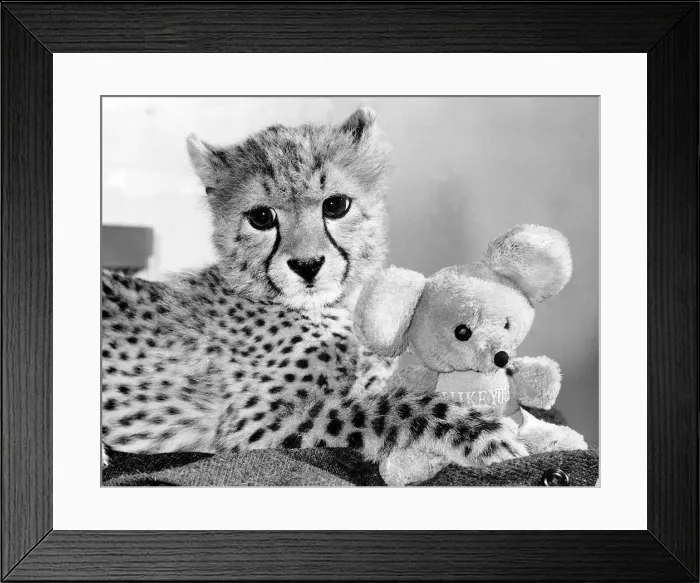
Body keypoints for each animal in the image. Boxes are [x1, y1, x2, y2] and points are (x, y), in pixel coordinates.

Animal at [101, 107, 528, 476]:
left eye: (335, 205)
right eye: (261, 217)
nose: (307, 265)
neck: (335, 307)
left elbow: (386, 393)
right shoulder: (253, 425)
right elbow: (391, 407)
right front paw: (488, 437)